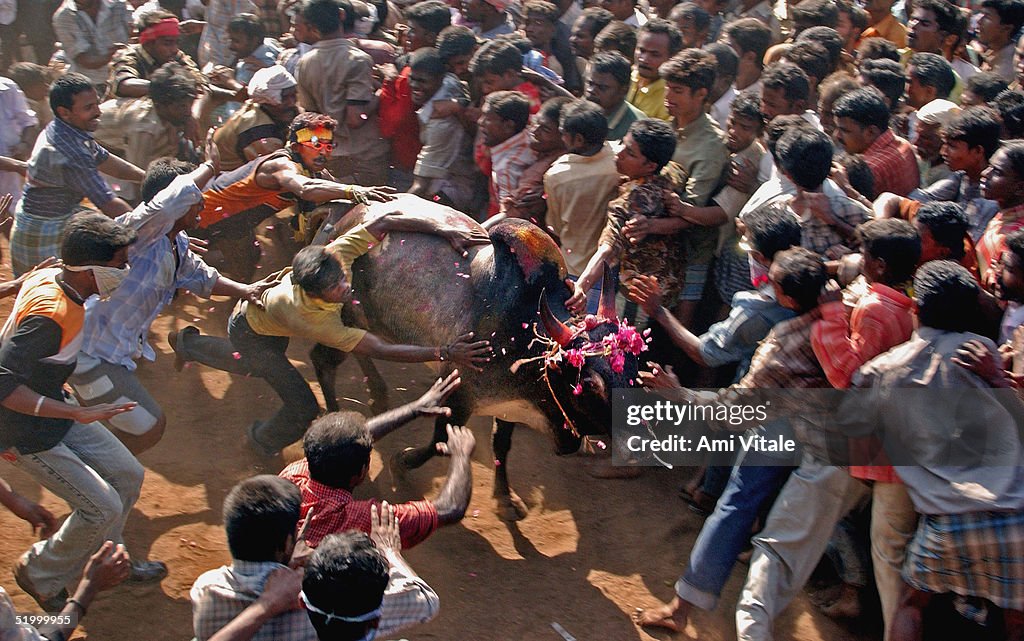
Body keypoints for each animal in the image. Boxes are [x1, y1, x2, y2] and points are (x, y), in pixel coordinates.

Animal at [313, 194, 647, 520]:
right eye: (590, 383)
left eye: (634, 368)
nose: (635, 447)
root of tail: (345, 218)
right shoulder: (459, 395)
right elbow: (439, 443)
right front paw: (401, 462)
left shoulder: (508, 407)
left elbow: (501, 445)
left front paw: (505, 499)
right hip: (340, 321)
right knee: (323, 360)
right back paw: (335, 419)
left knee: (359, 352)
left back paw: (377, 394)